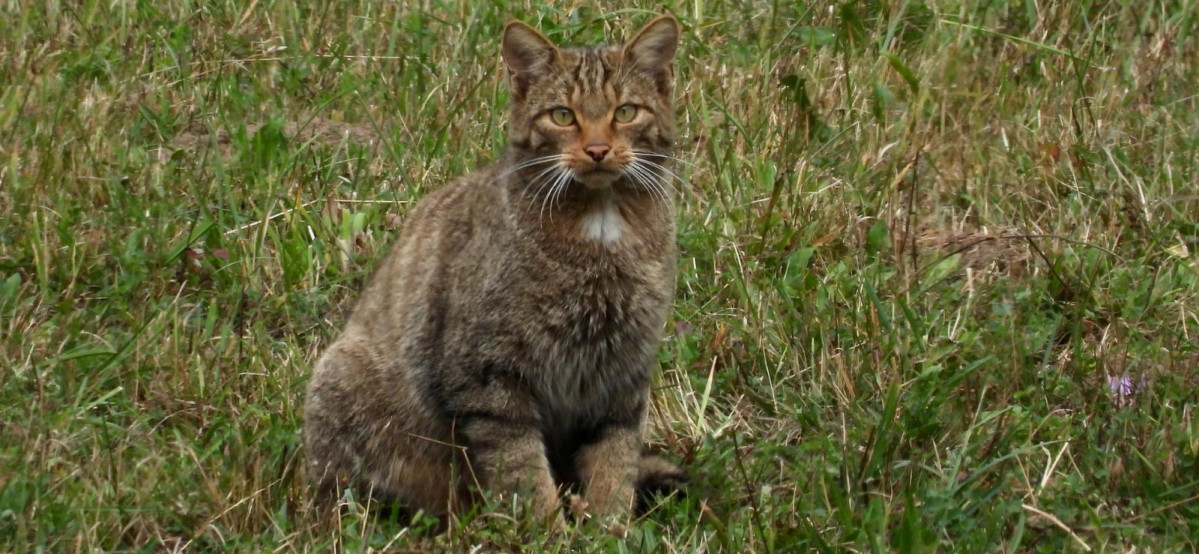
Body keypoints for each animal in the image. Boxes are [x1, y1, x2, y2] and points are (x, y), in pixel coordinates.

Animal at [302, 14, 685, 522]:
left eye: (625, 112)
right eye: (562, 116)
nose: (598, 149)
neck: (601, 224)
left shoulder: (622, 372)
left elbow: (614, 458)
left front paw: (609, 524)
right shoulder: (490, 374)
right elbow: (520, 468)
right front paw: (547, 529)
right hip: (344, 383)